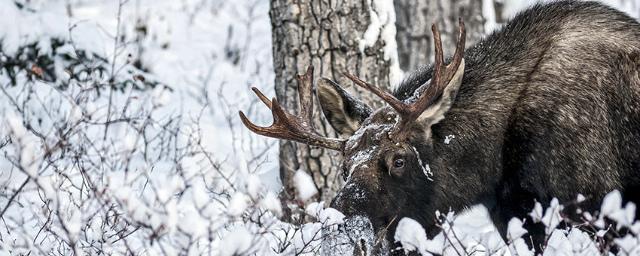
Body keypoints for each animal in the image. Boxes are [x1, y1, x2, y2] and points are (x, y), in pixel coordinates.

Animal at [238, 0, 640, 254]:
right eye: (344, 166)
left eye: (399, 160)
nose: (341, 224)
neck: (493, 167)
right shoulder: (517, 215)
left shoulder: (598, 209)